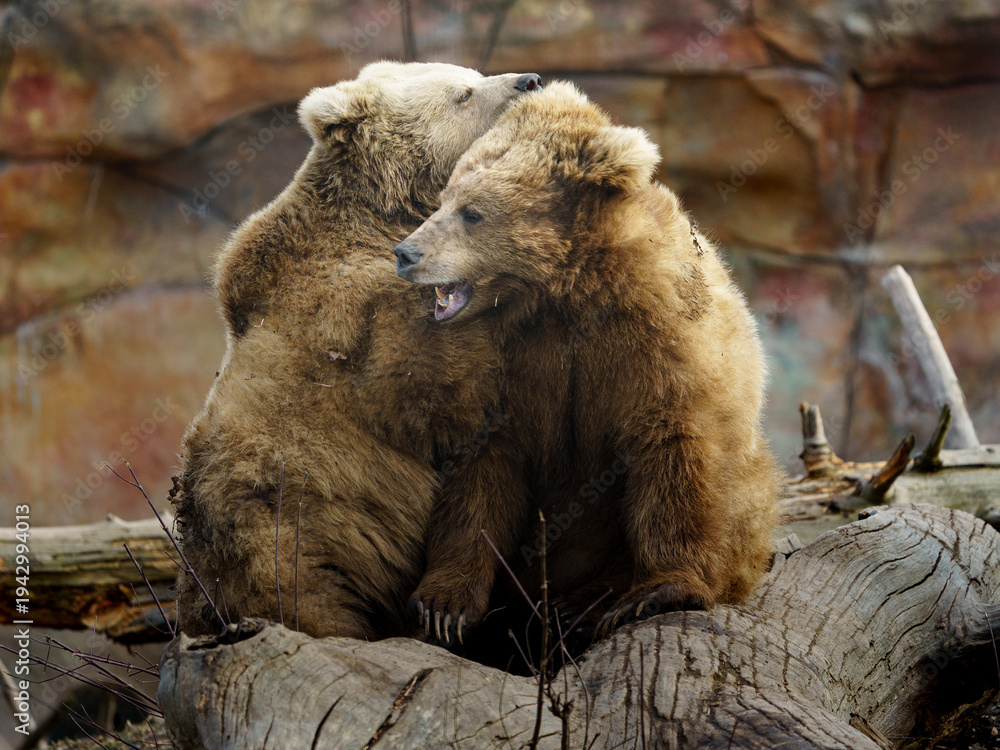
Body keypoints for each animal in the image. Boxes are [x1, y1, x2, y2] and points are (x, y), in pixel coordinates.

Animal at [170, 61, 541, 641]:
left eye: (473, 73)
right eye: (463, 92)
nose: (530, 81)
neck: (380, 215)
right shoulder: (372, 318)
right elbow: (455, 401)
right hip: (291, 543)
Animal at [394, 81, 781, 648]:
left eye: (473, 212)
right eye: (443, 199)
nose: (406, 253)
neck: (564, 293)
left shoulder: (656, 341)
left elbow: (675, 448)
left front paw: (659, 590)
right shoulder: (507, 366)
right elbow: (481, 471)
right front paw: (442, 606)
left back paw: (584, 603)